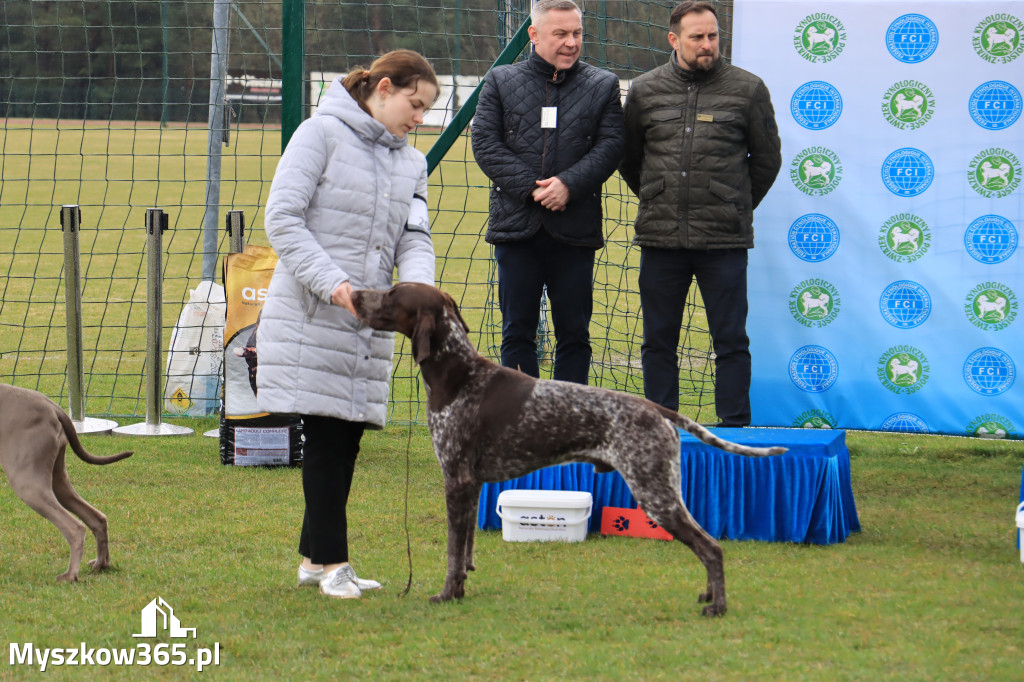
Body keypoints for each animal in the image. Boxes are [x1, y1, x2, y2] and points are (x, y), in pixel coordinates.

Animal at [0, 382, 134, 577]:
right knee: (97, 518)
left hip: (26, 480)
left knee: (75, 527)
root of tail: (52, 406)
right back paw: (100, 564)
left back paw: (70, 575)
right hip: (56, 479)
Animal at [352, 282, 782, 614]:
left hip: (655, 493)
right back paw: (708, 595)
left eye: (391, 294)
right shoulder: (470, 486)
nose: (355, 294)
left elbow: (453, 553)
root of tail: (656, 408)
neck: (458, 373)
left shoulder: (455, 482)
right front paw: (459, 590)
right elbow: (466, 549)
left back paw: (718, 606)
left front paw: (446, 595)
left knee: (711, 547)